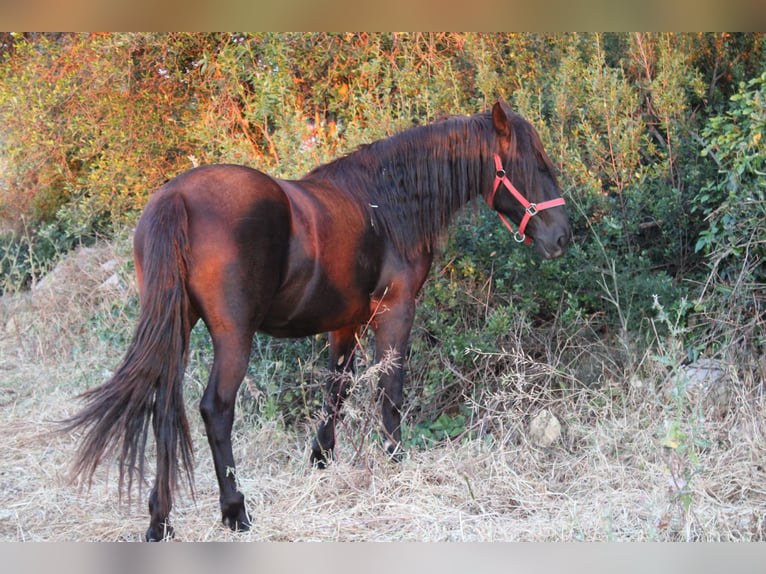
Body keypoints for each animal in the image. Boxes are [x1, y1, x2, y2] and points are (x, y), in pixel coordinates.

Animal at [64, 97, 568, 544]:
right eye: (535, 164)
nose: (562, 238)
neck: (387, 204)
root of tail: (177, 196)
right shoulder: (396, 311)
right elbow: (391, 391)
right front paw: (394, 462)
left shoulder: (346, 323)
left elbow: (336, 389)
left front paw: (321, 459)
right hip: (233, 336)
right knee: (215, 410)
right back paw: (235, 512)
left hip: (178, 328)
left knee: (164, 410)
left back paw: (161, 522)